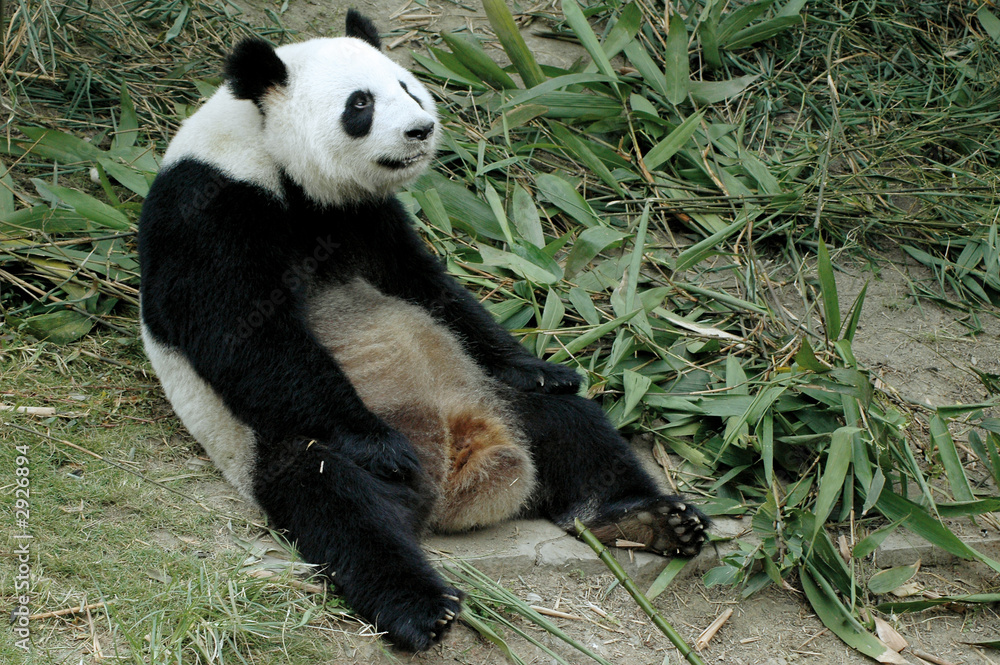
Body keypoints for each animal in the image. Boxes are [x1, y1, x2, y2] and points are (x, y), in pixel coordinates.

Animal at [138, 10, 707, 653]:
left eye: (408, 88)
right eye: (360, 104)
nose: (421, 129)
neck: (271, 159)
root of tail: (455, 485)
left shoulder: (366, 218)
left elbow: (430, 288)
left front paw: (536, 363)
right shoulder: (211, 210)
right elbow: (243, 334)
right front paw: (377, 443)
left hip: (490, 393)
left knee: (571, 427)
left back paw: (646, 518)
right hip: (270, 446)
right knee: (344, 508)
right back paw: (422, 605)